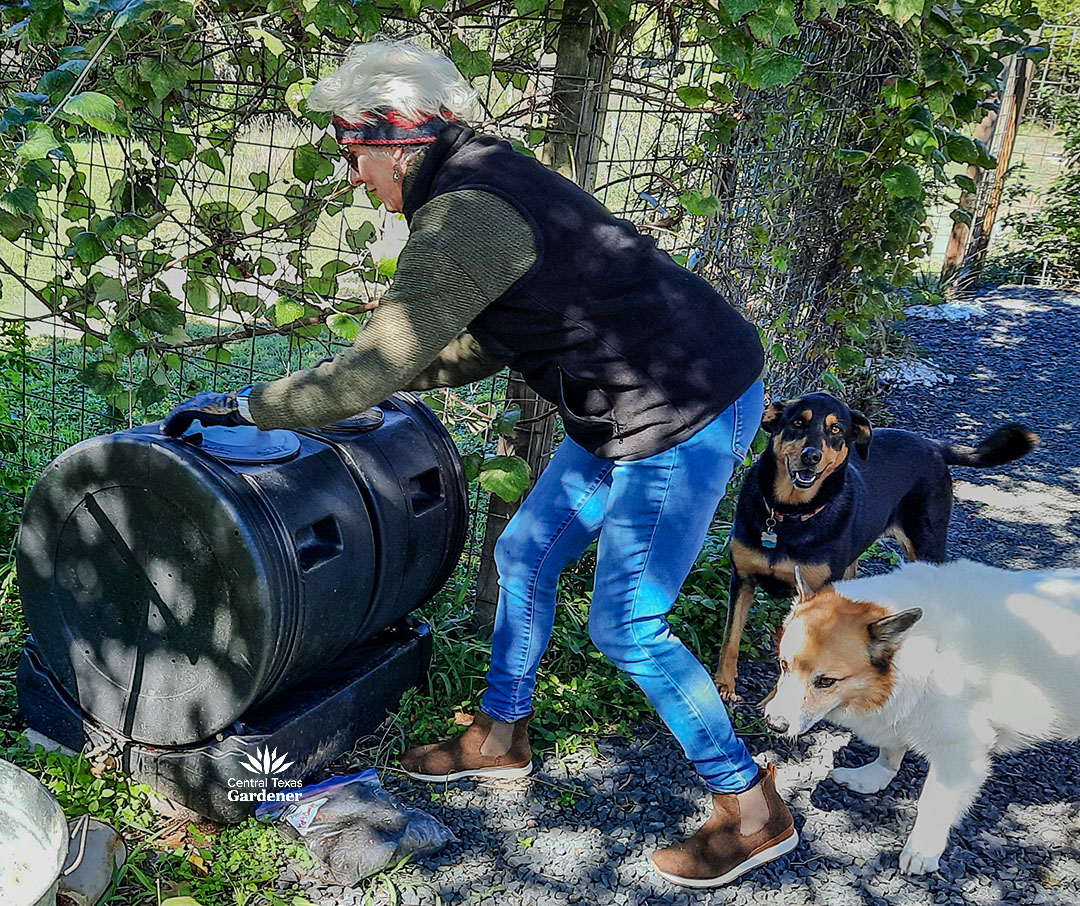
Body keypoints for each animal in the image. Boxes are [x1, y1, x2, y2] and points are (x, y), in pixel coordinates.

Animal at [712, 390, 1032, 699]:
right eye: (798, 423)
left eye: (836, 429)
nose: (811, 456)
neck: (789, 515)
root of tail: (931, 445)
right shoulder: (743, 579)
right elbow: (731, 638)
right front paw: (724, 685)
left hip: (926, 546)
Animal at [760, 561, 1080, 876]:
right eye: (783, 665)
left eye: (826, 681)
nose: (774, 724)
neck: (916, 649)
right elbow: (889, 755)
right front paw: (872, 777)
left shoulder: (960, 753)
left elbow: (933, 803)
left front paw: (922, 851)